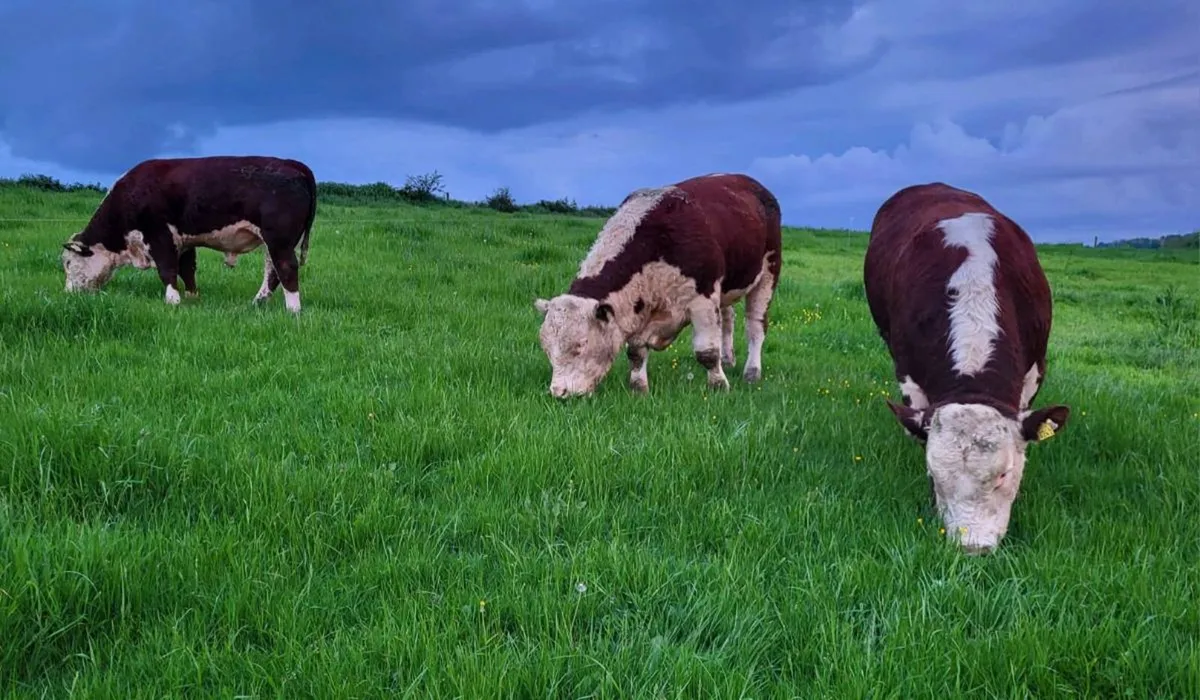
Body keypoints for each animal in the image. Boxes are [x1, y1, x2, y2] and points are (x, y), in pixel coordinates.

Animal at [60, 155, 317, 313]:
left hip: (279, 240)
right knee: (272, 272)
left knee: (285, 268)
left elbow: (167, 270)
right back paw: (257, 302)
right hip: (274, 242)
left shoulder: (159, 236)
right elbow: (187, 269)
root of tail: (293, 164)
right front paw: (192, 298)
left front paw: (172, 300)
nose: (68, 294)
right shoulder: (183, 241)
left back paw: (293, 309)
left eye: (68, 263)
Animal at [535, 172, 783, 398]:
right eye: (547, 348)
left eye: (580, 346)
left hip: (769, 272)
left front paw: (718, 386)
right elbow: (636, 352)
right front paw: (639, 388)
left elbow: (707, 352)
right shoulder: (638, 309)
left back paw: (751, 372)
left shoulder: (703, 299)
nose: (558, 392)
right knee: (729, 319)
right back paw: (728, 359)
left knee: (755, 326)